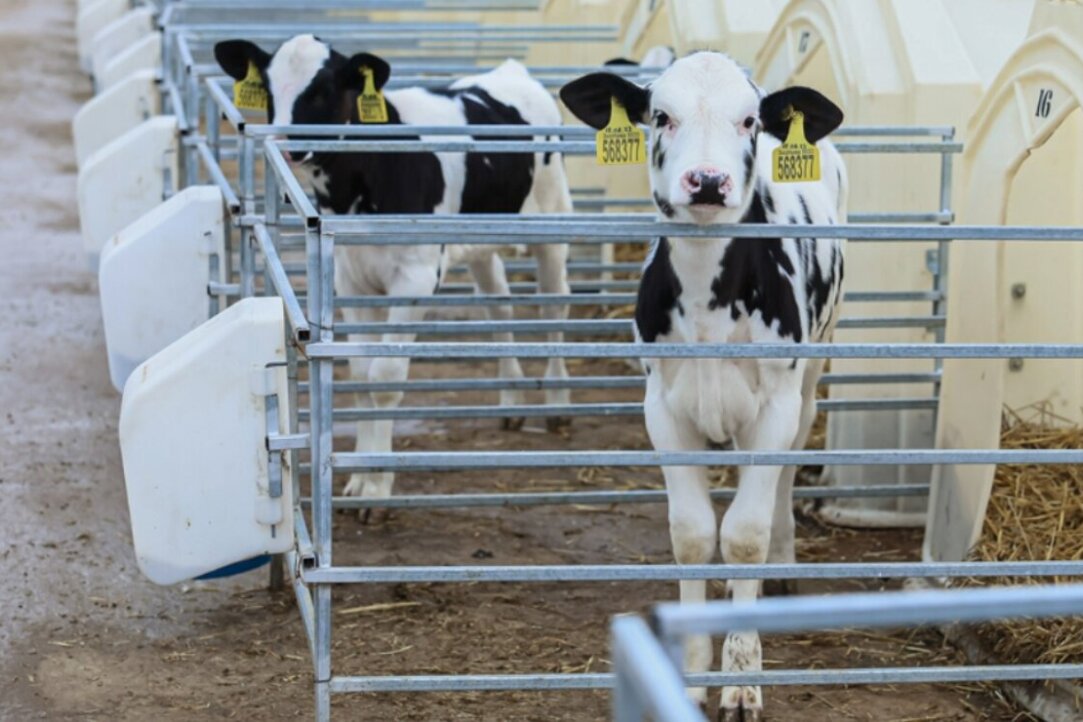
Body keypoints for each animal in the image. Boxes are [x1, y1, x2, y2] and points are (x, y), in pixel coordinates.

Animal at [563, 52, 849, 722]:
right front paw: (691, 677)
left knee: (784, 477)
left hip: (811, 379)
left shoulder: (774, 408)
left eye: (750, 120)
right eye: (660, 116)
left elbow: (743, 535)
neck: (708, 300)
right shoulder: (663, 411)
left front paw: (742, 679)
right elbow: (693, 535)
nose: (709, 181)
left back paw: (781, 563)